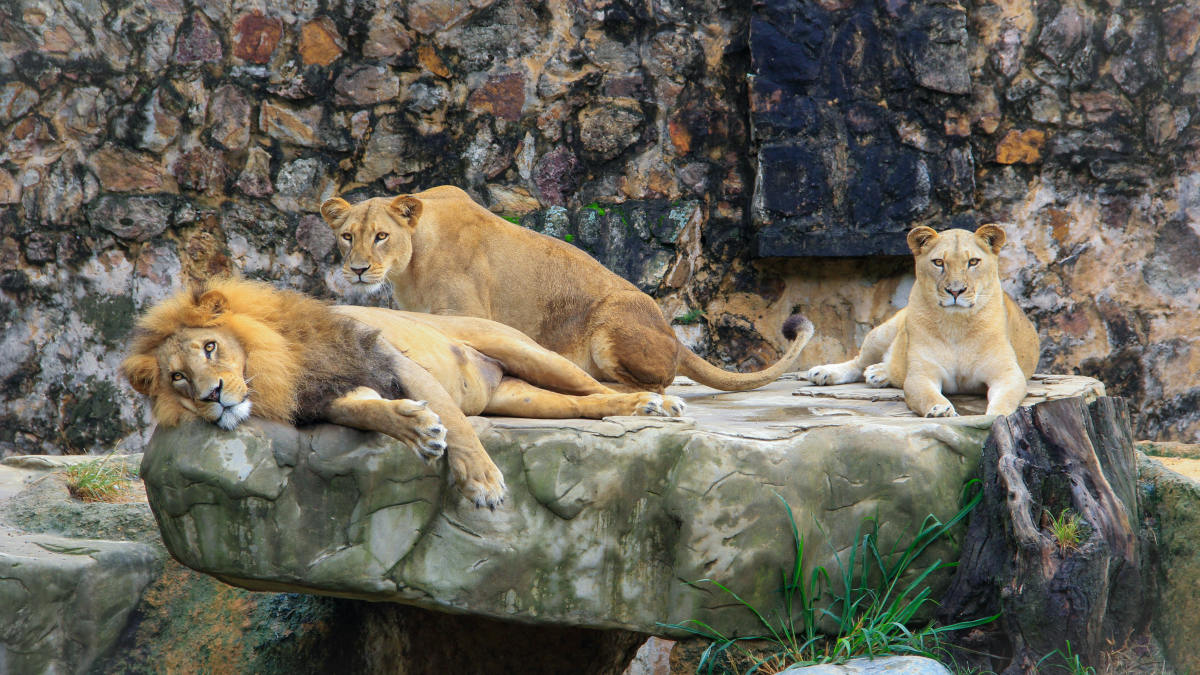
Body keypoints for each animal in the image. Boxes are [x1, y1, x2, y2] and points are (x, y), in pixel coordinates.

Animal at [124, 277, 686, 504]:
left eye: (211, 347)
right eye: (177, 377)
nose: (212, 395)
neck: (280, 365)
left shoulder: (394, 361)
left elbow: (456, 423)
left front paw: (482, 481)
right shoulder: (336, 395)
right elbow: (372, 414)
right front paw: (415, 429)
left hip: (528, 352)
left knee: (593, 384)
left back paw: (655, 402)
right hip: (523, 397)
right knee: (586, 404)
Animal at [319, 186, 811, 391]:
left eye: (381, 236)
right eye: (347, 236)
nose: (358, 270)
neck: (411, 263)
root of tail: (673, 334)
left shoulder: (466, 312)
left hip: (611, 324)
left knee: (658, 383)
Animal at [806, 225, 1041, 415]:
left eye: (973, 262)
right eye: (939, 262)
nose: (955, 291)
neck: (956, 325)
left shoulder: (1007, 373)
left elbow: (1005, 400)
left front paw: (995, 415)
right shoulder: (921, 374)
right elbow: (928, 395)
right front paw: (940, 410)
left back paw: (878, 373)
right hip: (880, 334)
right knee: (857, 362)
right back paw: (824, 372)